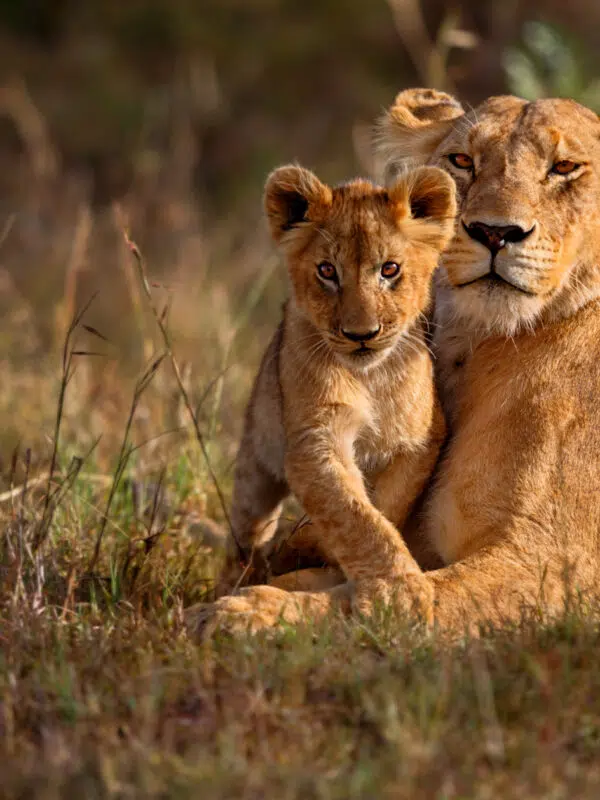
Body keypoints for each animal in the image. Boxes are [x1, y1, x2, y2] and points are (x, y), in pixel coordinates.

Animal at [187, 90, 600, 637]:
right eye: (462, 161)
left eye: (565, 167)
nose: (493, 232)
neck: (485, 342)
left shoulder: (551, 565)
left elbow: (383, 601)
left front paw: (242, 613)